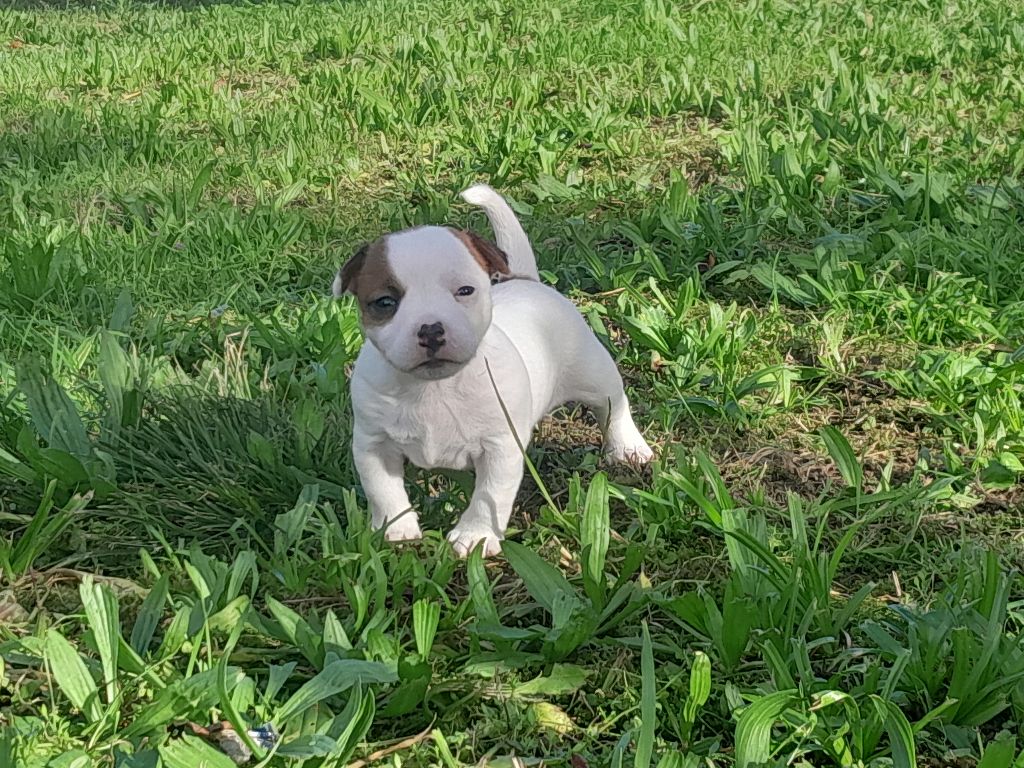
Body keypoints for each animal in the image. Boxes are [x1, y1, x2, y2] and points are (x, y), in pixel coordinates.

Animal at [335, 186, 655, 561]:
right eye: (385, 302)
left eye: (465, 291)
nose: (431, 329)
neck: (434, 386)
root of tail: (524, 279)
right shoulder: (373, 444)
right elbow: (383, 489)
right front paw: (394, 529)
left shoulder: (500, 448)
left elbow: (490, 495)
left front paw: (475, 535)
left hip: (593, 373)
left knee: (613, 406)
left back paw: (627, 446)